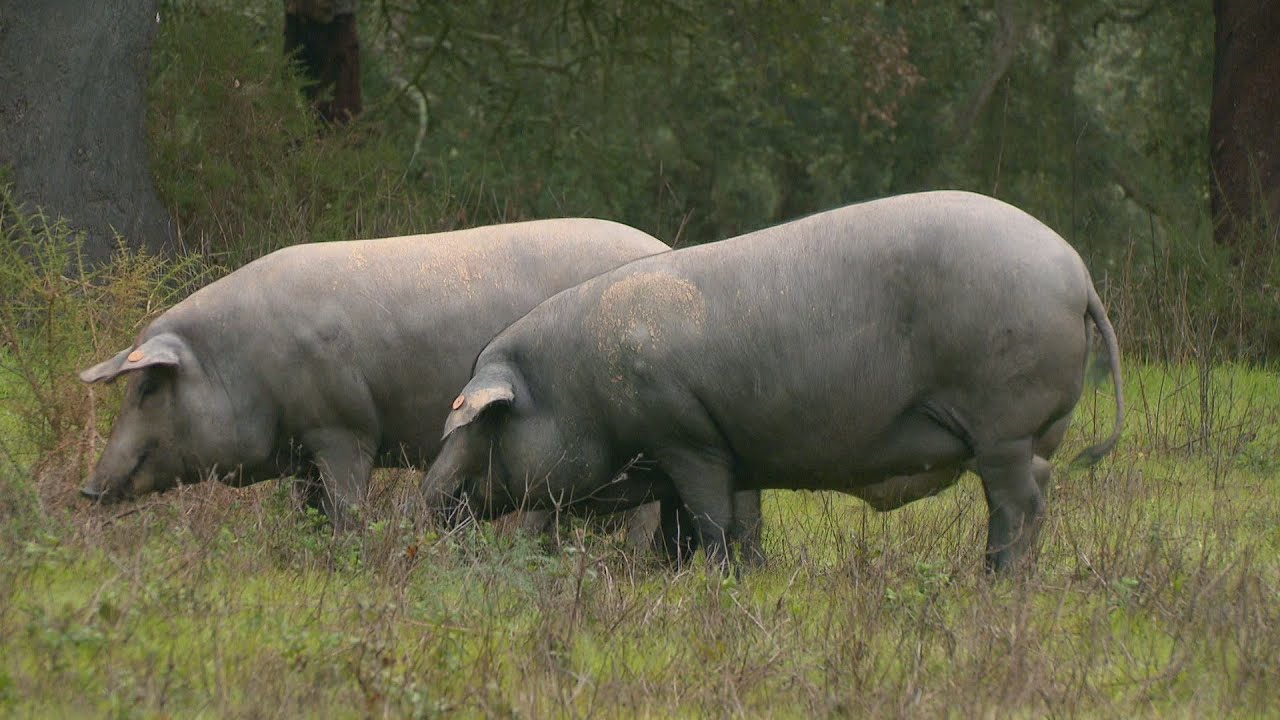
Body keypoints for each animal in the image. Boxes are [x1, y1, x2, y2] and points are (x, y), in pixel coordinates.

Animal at [78, 215, 670, 530]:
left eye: (148, 386)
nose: (85, 490)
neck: (241, 362)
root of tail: (664, 246)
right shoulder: (306, 450)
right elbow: (310, 510)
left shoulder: (343, 428)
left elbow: (346, 509)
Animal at [417, 192, 1121, 571]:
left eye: (486, 420)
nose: (422, 498)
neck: (575, 387)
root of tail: (1077, 273)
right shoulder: (708, 455)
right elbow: (696, 526)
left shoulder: (685, 436)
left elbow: (710, 519)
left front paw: (714, 579)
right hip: (1036, 432)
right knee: (1040, 490)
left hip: (1005, 424)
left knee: (1017, 505)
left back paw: (992, 581)